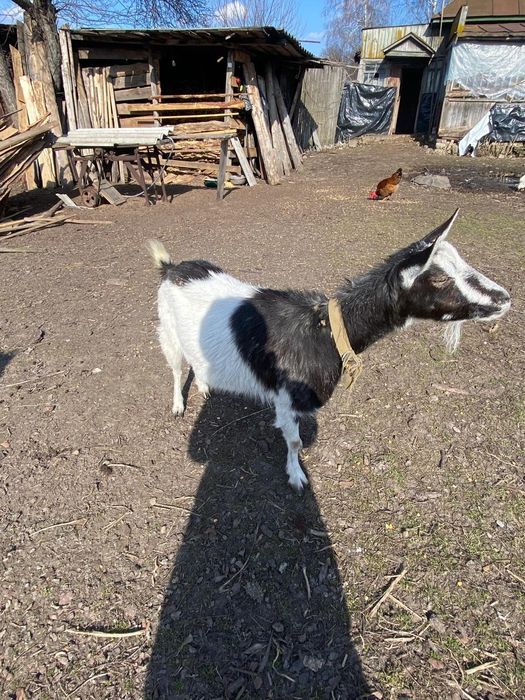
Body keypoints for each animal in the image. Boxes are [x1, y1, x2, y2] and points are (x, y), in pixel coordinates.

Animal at [149, 210, 511, 491]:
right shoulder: (286, 399)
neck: (327, 330)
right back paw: (178, 405)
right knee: (176, 367)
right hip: (167, 330)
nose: (504, 298)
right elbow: (295, 441)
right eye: (437, 280)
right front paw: (296, 477)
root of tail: (171, 268)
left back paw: (205, 386)